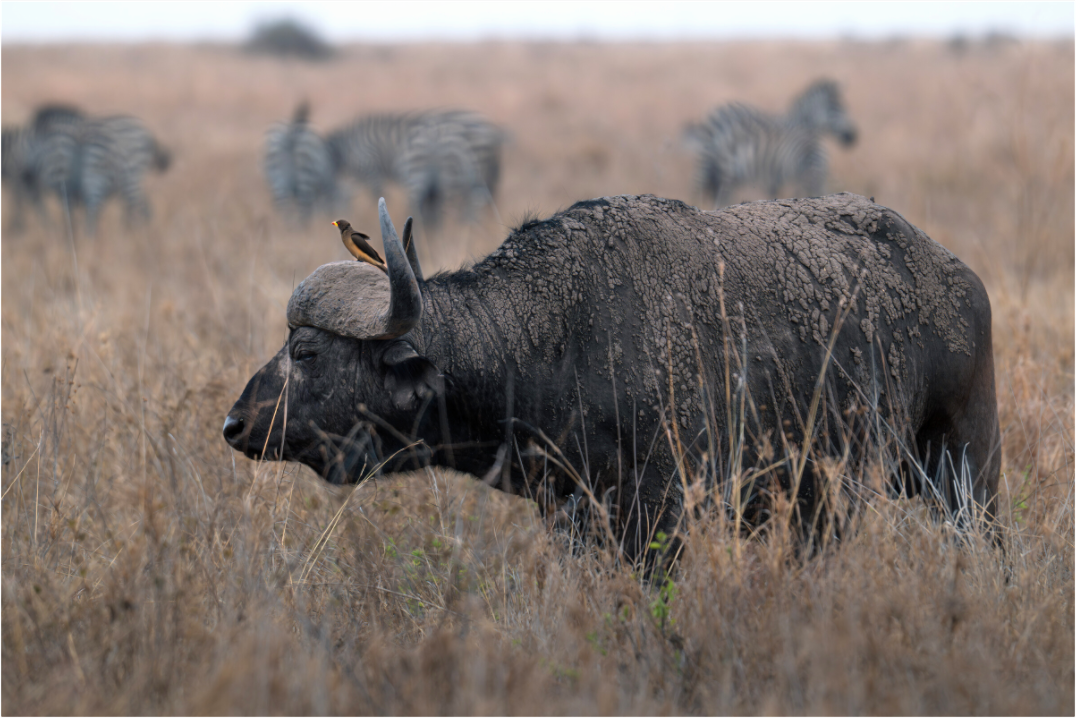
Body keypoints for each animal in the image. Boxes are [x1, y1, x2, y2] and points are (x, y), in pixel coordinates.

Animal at [224, 194, 1000, 559]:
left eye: (306, 352)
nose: (235, 423)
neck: (553, 341)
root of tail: (957, 276)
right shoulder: (574, 518)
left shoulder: (664, 514)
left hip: (966, 468)